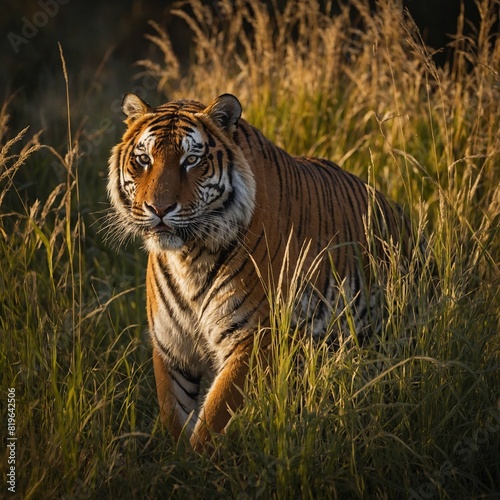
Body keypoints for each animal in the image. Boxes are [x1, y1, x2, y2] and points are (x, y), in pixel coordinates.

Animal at [108, 92, 418, 452]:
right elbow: (173, 413)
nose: (158, 209)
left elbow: (215, 415)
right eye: (144, 159)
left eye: (191, 160)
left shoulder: (254, 337)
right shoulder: (172, 345)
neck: (189, 257)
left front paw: (196, 461)